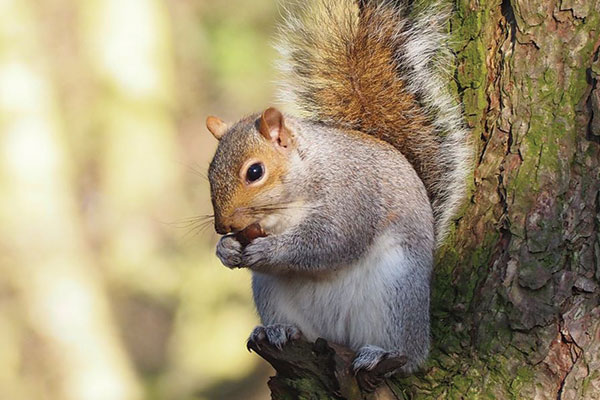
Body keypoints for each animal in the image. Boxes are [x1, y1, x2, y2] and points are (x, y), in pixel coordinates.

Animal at [204, 0, 472, 376]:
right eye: (209, 172)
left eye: (255, 172)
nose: (222, 225)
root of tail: (335, 338)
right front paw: (225, 249)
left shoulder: (354, 196)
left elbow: (330, 242)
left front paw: (269, 250)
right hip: (271, 294)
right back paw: (276, 330)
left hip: (395, 293)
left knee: (407, 355)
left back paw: (380, 354)